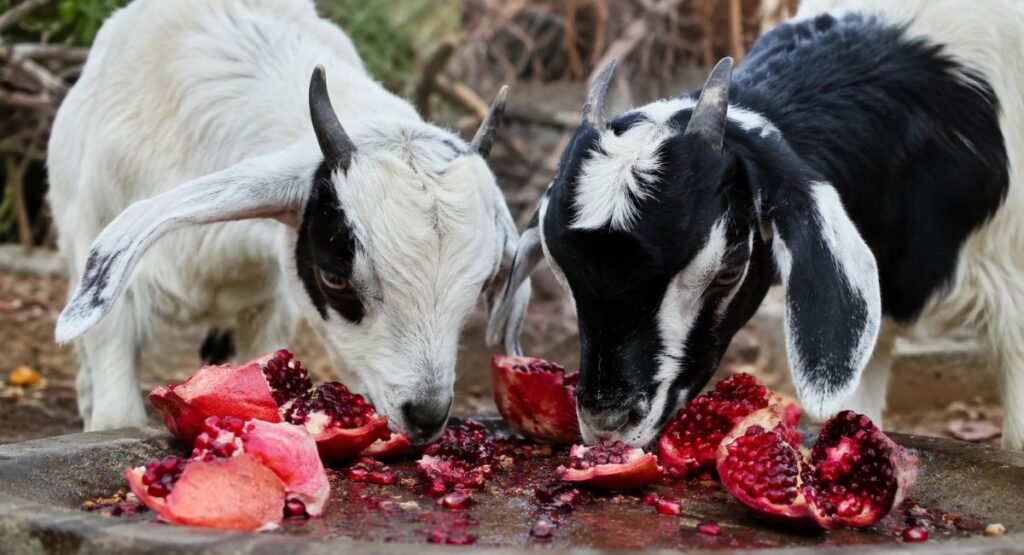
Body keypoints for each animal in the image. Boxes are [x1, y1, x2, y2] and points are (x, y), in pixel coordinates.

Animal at [49, 0, 529, 444]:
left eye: (480, 287)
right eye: (335, 279)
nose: (426, 417)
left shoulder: (269, 303)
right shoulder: (112, 295)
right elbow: (115, 413)